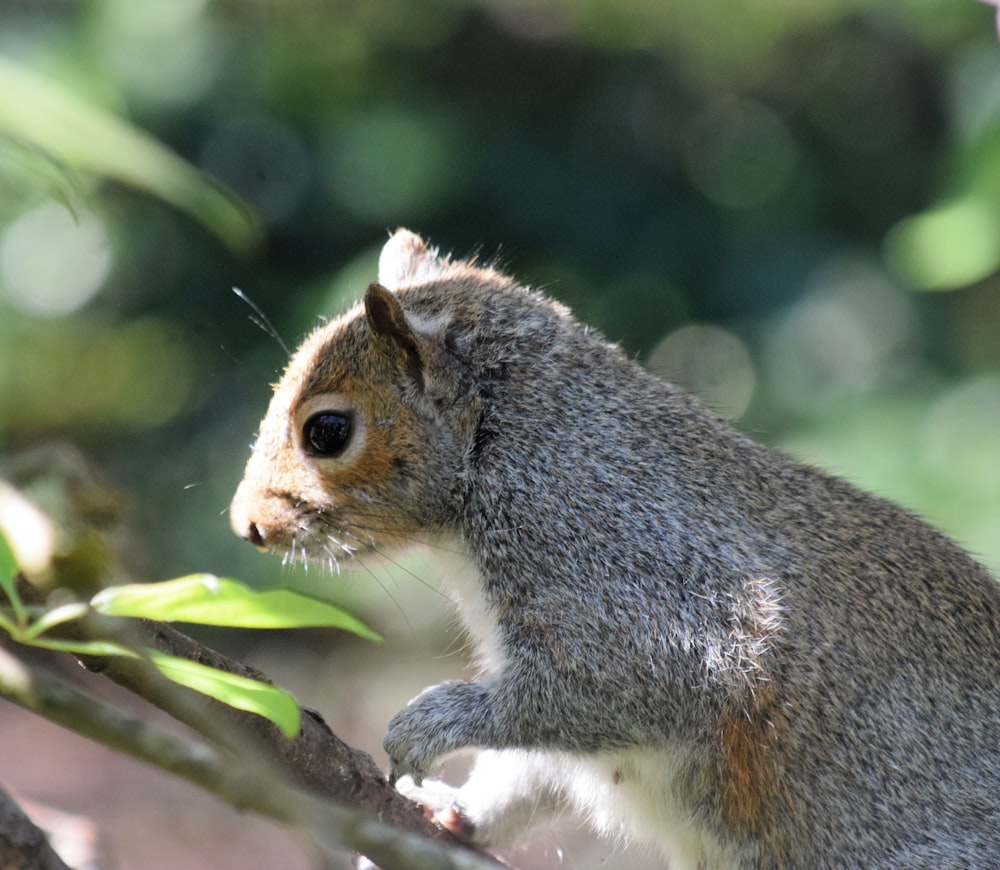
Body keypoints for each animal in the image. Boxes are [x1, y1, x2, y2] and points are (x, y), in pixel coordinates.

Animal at [230, 232, 1000, 870]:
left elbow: (608, 689)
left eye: (328, 431)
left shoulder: (619, 559)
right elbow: (537, 770)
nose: (244, 526)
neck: (500, 446)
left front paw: (431, 725)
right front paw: (455, 813)